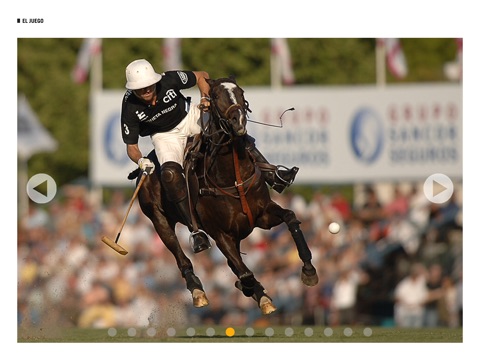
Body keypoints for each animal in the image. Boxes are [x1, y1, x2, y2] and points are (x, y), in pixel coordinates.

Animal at [133, 76, 316, 316]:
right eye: (216, 96)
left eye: (241, 92)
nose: (239, 122)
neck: (232, 177)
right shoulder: (221, 233)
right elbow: (244, 273)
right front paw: (251, 288)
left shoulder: (262, 215)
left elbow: (291, 217)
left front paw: (309, 270)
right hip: (158, 219)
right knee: (180, 254)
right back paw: (198, 290)